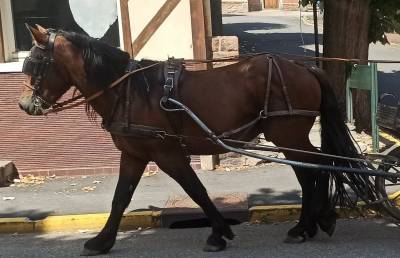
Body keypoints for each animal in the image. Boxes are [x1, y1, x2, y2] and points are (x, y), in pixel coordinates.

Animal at [17, 25, 374, 255]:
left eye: (36, 64)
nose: (23, 105)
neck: (129, 91)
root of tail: (304, 67)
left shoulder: (167, 153)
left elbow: (196, 190)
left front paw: (219, 232)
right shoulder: (134, 155)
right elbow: (120, 198)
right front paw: (102, 241)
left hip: (288, 134)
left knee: (317, 168)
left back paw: (308, 225)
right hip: (288, 137)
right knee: (313, 170)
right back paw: (313, 223)